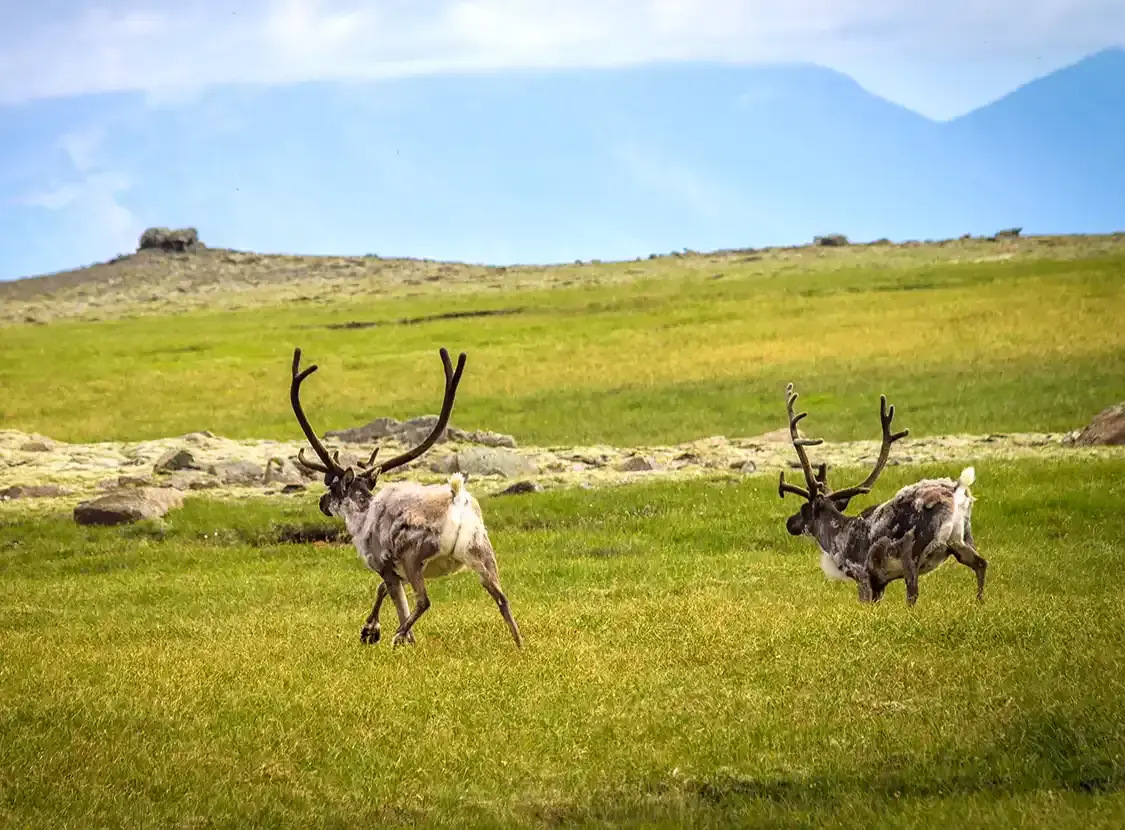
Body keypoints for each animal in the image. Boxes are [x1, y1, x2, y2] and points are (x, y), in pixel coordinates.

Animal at [289, 345, 523, 648]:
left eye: (332, 486)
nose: (321, 503)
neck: (361, 517)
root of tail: (457, 500)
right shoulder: (394, 572)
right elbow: (381, 591)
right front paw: (370, 629)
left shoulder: (386, 566)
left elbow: (397, 601)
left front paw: (387, 633)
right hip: (482, 553)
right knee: (502, 598)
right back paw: (519, 644)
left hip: (414, 557)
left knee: (424, 601)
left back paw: (398, 636)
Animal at [777, 383, 987, 606]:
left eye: (803, 509)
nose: (789, 523)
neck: (836, 539)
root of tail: (958, 491)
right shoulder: (880, 583)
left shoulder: (862, 574)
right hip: (961, 539)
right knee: (981, 564)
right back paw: (979, 602)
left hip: (912, 552)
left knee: (913, 592)